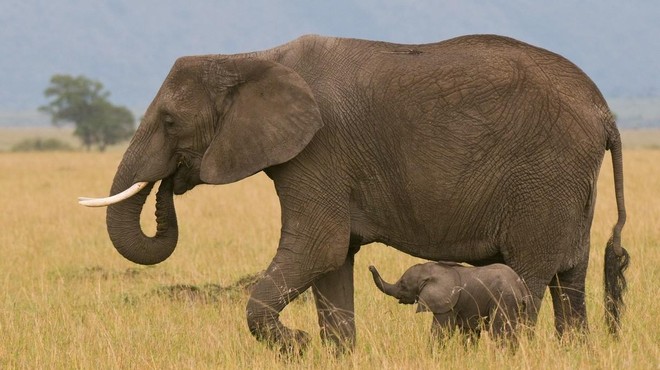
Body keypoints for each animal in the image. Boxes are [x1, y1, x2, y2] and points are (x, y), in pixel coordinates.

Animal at [368, 262, 532, 346]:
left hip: (504, 300)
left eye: (403, 285)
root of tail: (521, 287)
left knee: (501, 334)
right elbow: (469, 333)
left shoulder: (446, 304)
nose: (370, 266)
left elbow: (442, 331)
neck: (432, 270)